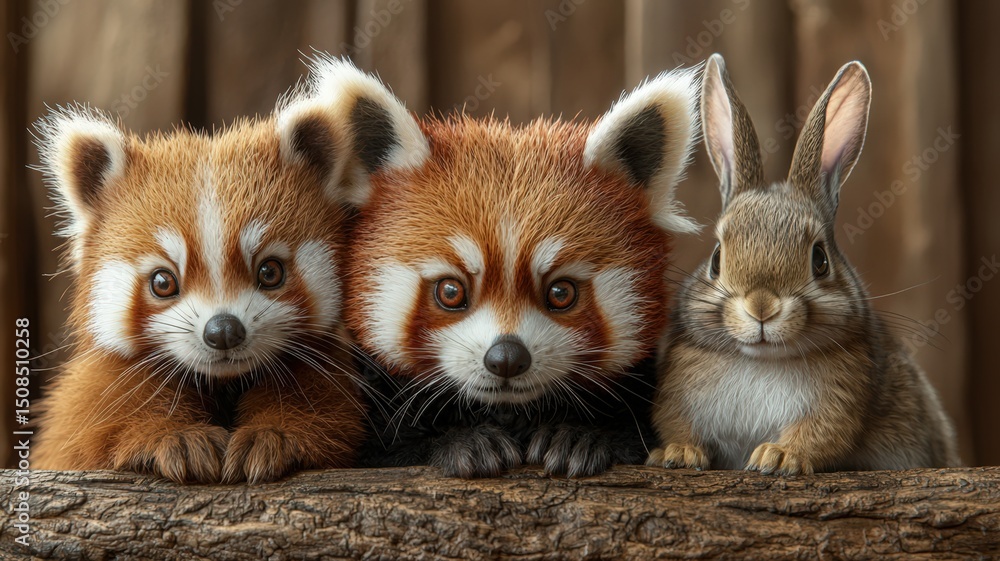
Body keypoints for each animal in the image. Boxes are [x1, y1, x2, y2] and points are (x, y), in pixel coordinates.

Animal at [645, 53, 961, 475]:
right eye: (716, 259)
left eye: (820, 260)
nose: (761, 307)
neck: (763, 360)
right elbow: (677, 424)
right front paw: (678, 454)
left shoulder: (839, 398)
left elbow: (820, 434)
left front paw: (777, 456)